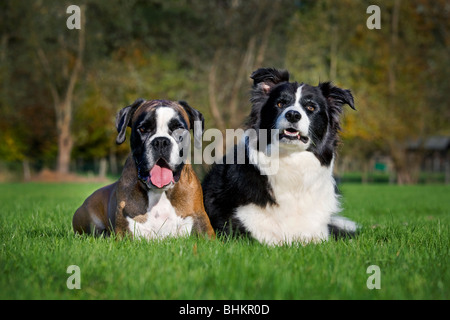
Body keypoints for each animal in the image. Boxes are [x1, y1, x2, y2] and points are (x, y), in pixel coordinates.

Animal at [72, 99, 216, 239]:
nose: (161, 141)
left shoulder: (202, 226)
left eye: (178, 128)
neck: (159, 193)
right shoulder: (126, 234)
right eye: (143, 129)